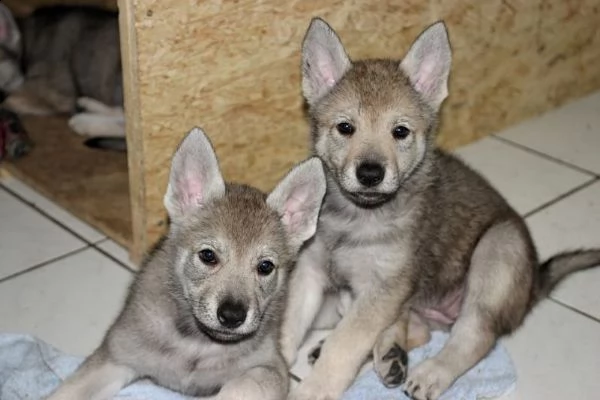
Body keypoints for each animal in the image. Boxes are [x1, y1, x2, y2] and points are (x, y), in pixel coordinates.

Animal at [47, 129, 328, 400]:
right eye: (208, 256)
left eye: (265, 267)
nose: (232, 316)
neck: (197, 345)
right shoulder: (116, 356)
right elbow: (65, 392)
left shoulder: (269, 369)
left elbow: (240, 387)